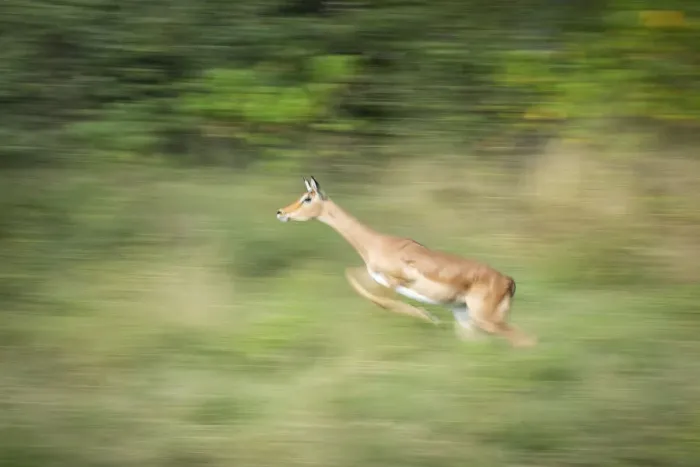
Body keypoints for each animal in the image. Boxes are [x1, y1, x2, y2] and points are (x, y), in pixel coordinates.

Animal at [276, 176, 536, 348]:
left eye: (307, 198)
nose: (281, 212)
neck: (377, 243)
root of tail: (508, 282)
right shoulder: (374, 277)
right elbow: (353, 278)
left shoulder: (397, 281)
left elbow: (384, 302)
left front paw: (429, 317)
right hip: (466, 317)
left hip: (488, 320)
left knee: (526, 339)